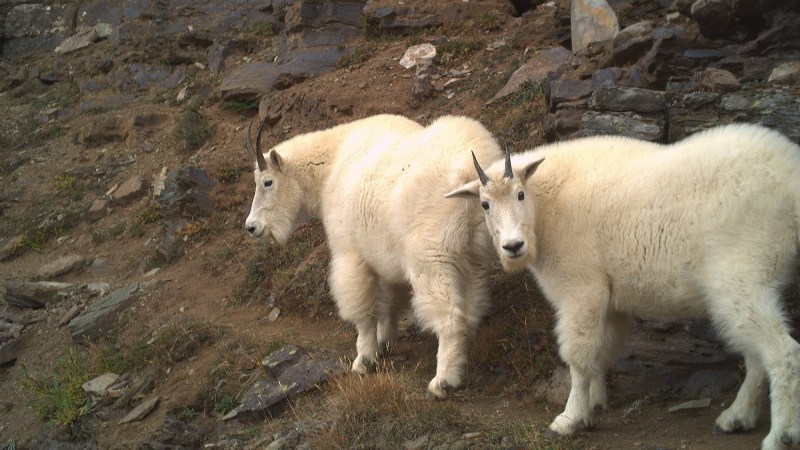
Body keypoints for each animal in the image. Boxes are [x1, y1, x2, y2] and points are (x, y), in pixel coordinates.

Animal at [245, 114, 503, 399]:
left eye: (267, 182)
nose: (252, 227)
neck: (331, 166)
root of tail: (471, 174)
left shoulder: (350, 254)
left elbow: (363, 309)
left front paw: (364, 359)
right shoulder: (384, 257)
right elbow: (389, 301)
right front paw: (384, 340)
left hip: (433, 258)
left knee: (450, 317)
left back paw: (442, 380)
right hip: (475, 255)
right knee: (472, 308)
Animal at [446, 123, 800, 450]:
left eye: (520, 194)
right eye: (485, 204)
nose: (513, 246)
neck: (546, 209)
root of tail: (791, 176)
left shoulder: (581, 290)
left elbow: (579, 357)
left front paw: (568, 419)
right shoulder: (609, 299)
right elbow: (603, 351)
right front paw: (594, 409)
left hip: (740, 277)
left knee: (782, 352)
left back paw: (779, 435)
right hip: (752, 284)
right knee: (756, 354)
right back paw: (736, 418)